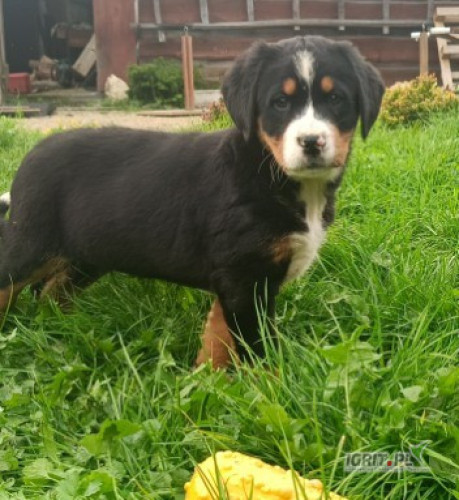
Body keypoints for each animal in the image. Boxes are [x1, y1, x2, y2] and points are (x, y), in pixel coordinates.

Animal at [0, 36, 384, 368]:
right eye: (280, 102)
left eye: (335, 99)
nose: (312, 142)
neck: (272, 174)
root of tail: (30, 157)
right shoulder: (245, 277)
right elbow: (255, 344)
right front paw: (269, 384)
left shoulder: (234, 278)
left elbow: (219, 337)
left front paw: (210, 383)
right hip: (31, 241)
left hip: (87, 253)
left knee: (52, 293)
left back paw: (67, 329)